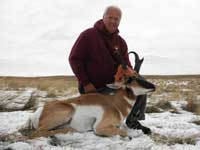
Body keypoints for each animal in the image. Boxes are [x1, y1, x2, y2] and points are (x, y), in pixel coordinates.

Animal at [25, 52, 155, 139]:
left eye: (137, 75)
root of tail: (38, 112)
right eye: (130, 79)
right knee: (36, 133)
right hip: (67, 111)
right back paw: (70, 130)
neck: (115, 103)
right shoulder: (99, 127)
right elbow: (125, 133)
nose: (153, 86)